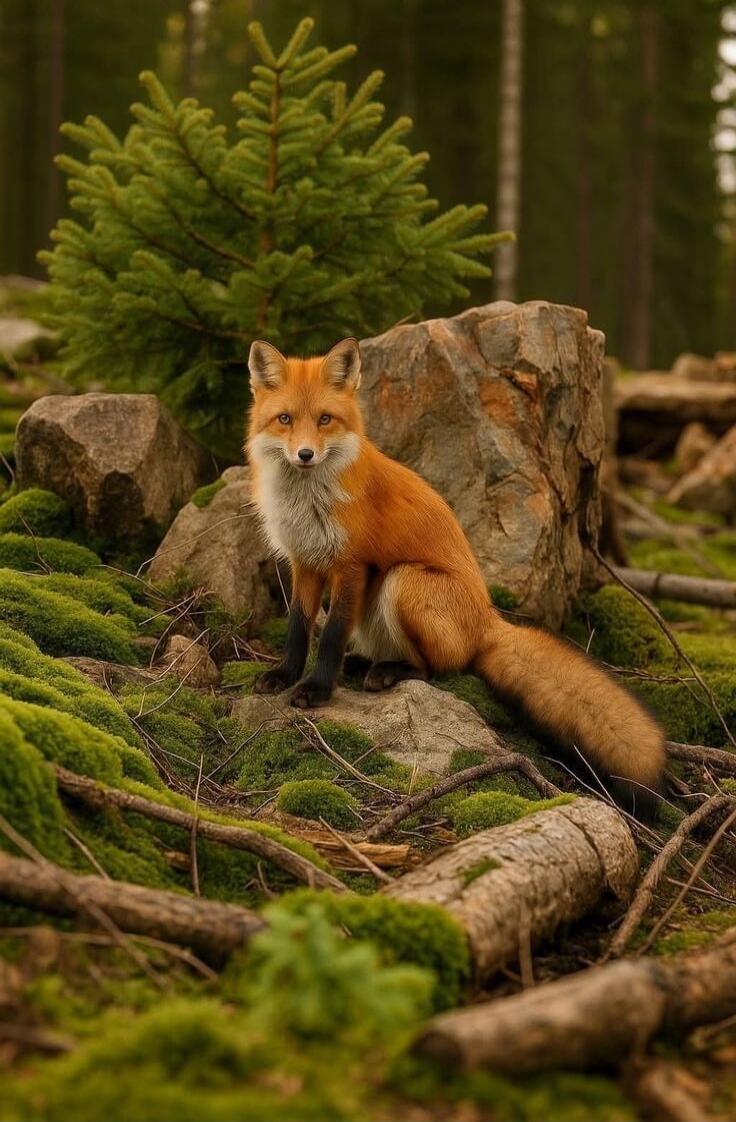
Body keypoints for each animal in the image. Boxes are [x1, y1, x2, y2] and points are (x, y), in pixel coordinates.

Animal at [246, 336, 666, 818]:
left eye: (325, 420)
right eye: (285, 419)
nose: (305, 454)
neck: (308, 501)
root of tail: (487, 618)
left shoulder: (352, 565)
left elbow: (331, 634)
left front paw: (317, 688)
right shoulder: (305, 561)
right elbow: (298, 628)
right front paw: (285, 675)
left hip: (402, 581)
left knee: (438, 666)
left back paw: (388, 672)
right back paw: (366, 663)